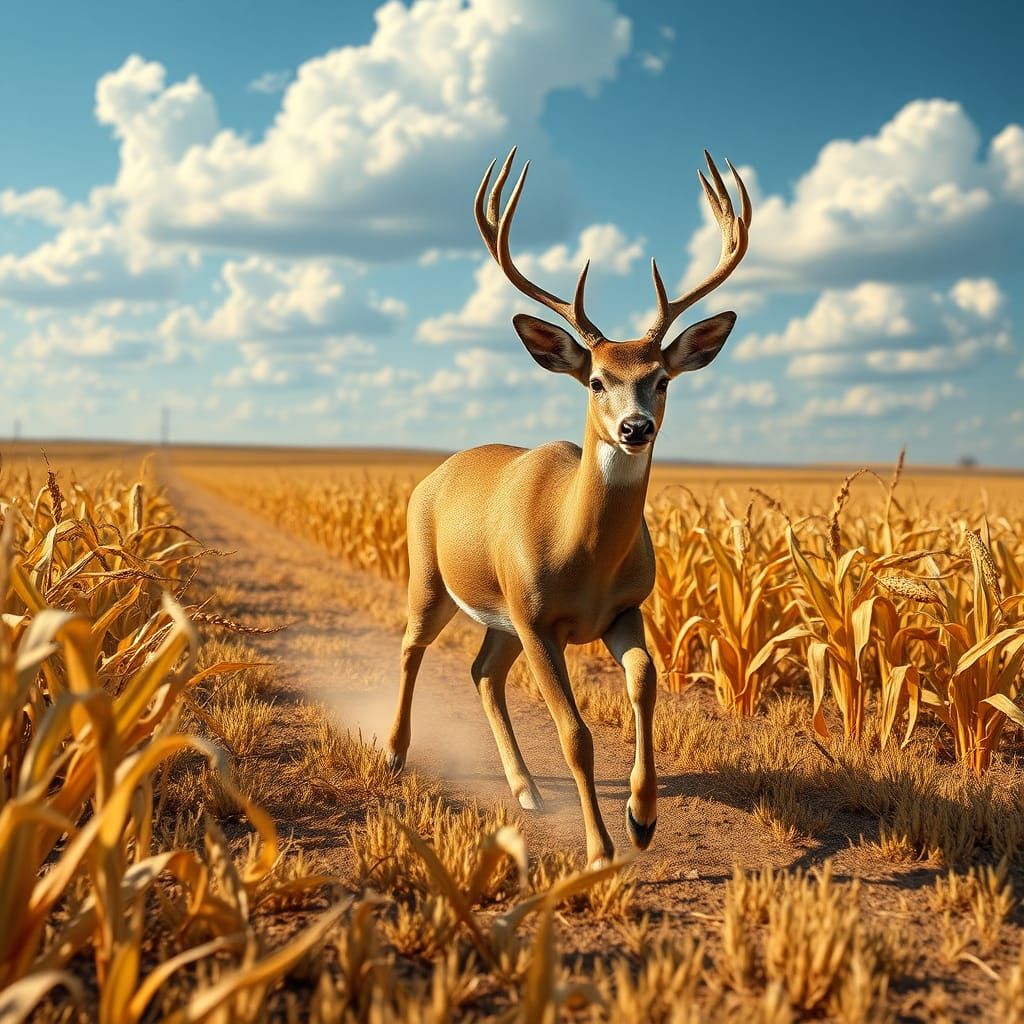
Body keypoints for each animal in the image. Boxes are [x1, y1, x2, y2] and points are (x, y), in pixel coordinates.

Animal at [386, 148, 751, 867]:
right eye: (596, 380)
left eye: (661, 379)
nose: (636, 428)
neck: (578, 553)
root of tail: (437, 472)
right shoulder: (537, 620)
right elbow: (575, 733)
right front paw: (601, 849)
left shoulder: (625, 610)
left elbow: (645, 683)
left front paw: (642, 817)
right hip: (432, 578)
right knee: (413, 648)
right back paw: (393, 753)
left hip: (498, 617)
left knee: (482, 673)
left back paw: (526, 788)